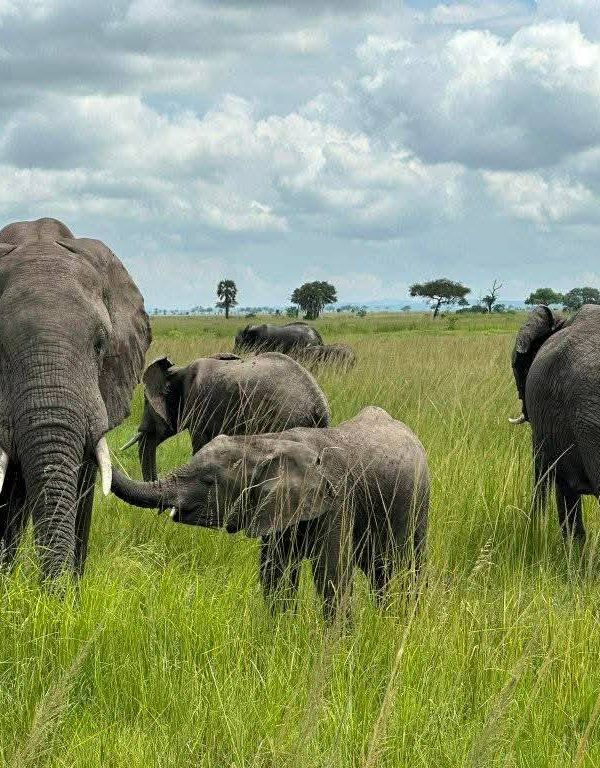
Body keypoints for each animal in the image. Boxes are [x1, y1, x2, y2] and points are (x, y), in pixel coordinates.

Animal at [111, 406, 429, 616]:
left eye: (209, 481)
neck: (268, 443)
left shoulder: (338, 500)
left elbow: (331, 576)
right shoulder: (272, 507)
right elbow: (272, 574)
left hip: (420, 500)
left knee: (409, 564)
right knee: (379, 569)